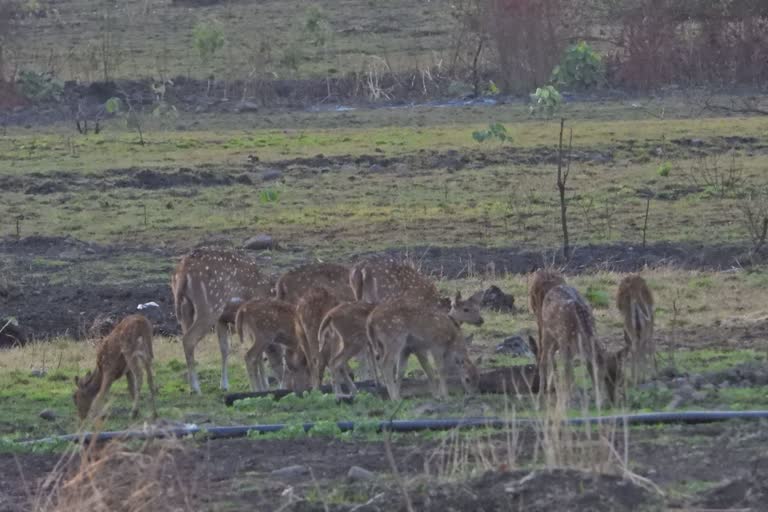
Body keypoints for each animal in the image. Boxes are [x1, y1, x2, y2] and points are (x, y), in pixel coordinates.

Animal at [172, 250, 274, 394]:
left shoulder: (222, 319)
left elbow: (225, 348)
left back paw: (192, 387)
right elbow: (258, 352)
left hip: (185, 308)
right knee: (188, 339)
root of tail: (182, 272)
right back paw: (196, 389)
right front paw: (264, 385)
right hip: (210, 307)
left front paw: (224, 385)